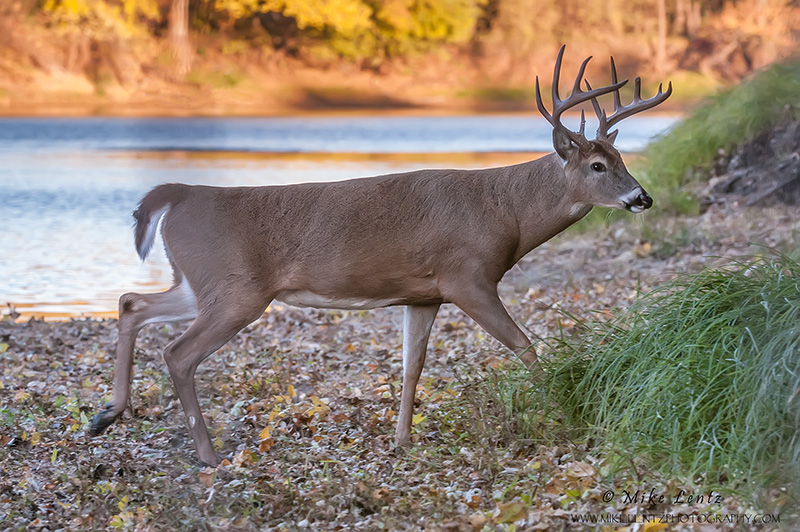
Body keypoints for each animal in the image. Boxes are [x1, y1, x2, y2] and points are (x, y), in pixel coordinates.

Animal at [90, 45, 672, 466]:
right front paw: (564, 407)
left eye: (621, 156)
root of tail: (180, 194)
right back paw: (207, 456)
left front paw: (402, 440)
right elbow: (526, 347)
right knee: (177, 353)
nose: (641, 197)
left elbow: (413, 365)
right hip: (236, 289)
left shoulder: (424, 294)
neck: (505, 212)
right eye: (597, 165)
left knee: (131, 302)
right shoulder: (468, 277)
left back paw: (108, 413)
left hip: (201, 283)